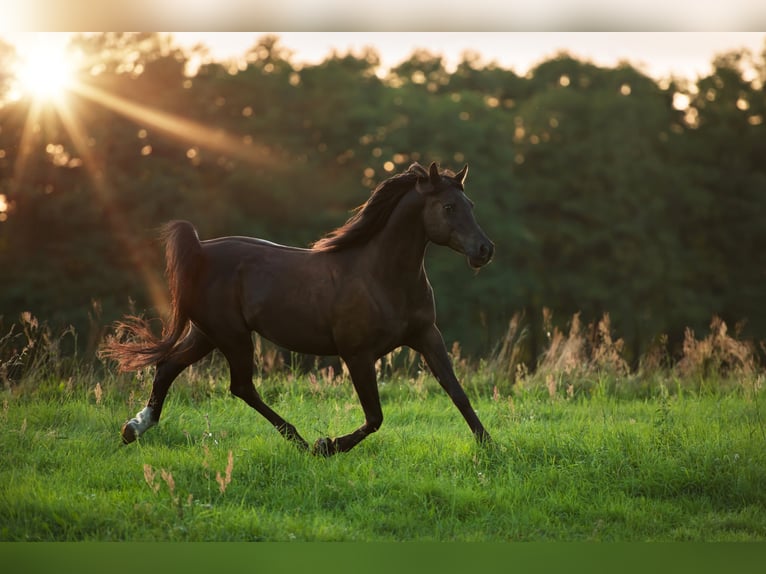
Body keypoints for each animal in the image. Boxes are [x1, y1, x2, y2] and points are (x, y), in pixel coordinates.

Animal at [102, 161, 496, 454]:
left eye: (471, 206)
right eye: (448, 207)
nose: (485, 250)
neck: (381, 276)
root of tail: (200, 249)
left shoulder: (427, 335)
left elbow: (456, 391)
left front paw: (490, 447)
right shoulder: (357, 354)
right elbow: (375, 417)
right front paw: (327, 445)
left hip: (207, 334)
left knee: (169, 367)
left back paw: (133, 428)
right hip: (232, 336)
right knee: (241, 387)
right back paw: (301, 442)